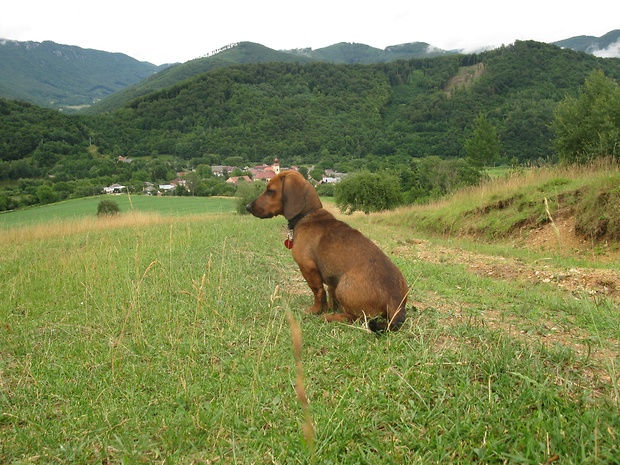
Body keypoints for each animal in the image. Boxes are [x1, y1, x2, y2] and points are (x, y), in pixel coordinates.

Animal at [247, 170, 406, 330]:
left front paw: (316, 310)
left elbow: (318, 292)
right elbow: (329, 294)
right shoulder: (331, 280)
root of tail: (395, 304)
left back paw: (330, 317)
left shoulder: (308, 268)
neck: (308, 215)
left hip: (343, 287)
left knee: (356, 318)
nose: (247, 207)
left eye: (270, 191)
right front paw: (329, 307)